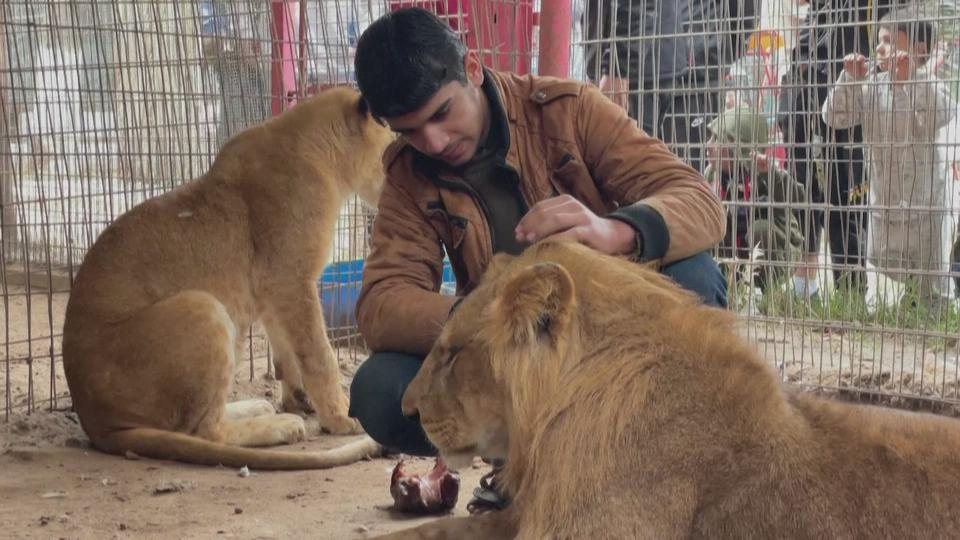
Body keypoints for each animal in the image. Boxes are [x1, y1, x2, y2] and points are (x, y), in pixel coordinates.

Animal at [62, 86, 392, 470]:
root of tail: (98, 424)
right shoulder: (290, 278)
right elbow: (317, 352)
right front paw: (340, 416)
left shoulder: (272, 288)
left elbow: (285, 348)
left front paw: (298, 398)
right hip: (202, 305)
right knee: (204, 431)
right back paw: (280, 425)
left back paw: (260, 407)